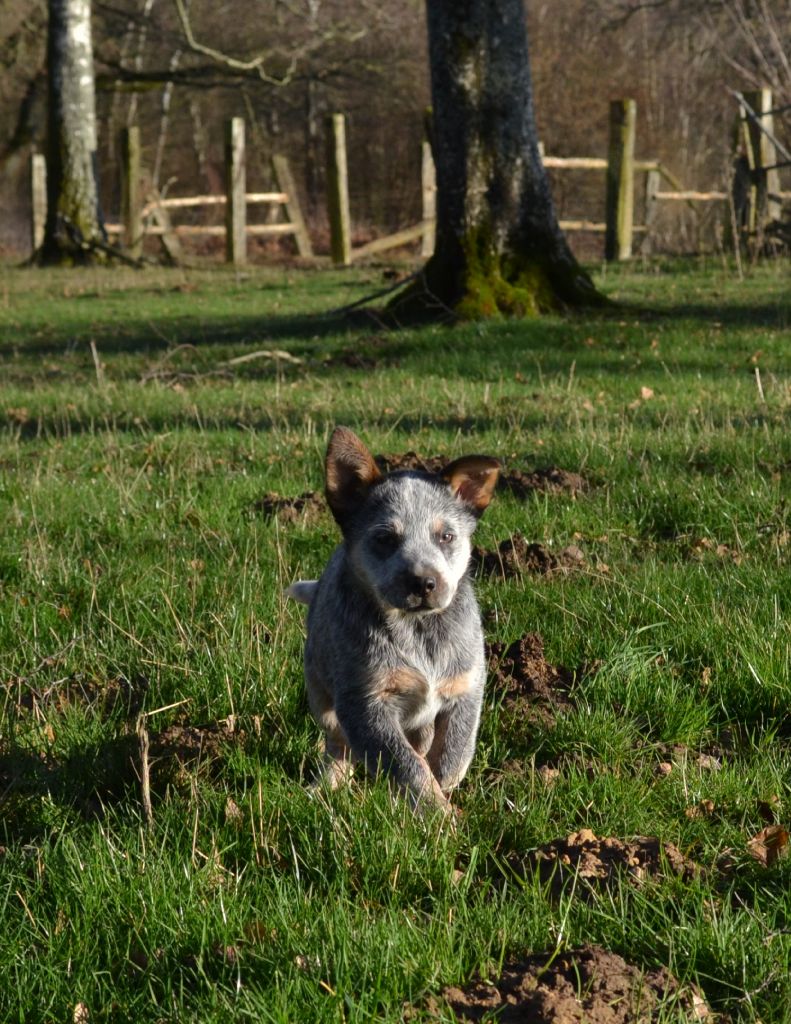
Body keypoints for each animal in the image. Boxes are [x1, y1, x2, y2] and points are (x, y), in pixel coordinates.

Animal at [284, 423, 500, 806]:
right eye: (385, 538)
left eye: (446, 536)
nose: (424, 582)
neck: (417, 629)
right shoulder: (364, 702)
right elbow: (407, 766)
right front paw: (436, 811)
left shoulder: (466, 686)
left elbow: (453, 751)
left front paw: (445, 784)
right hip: (320, 693)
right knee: (337, 743)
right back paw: (327, 784)